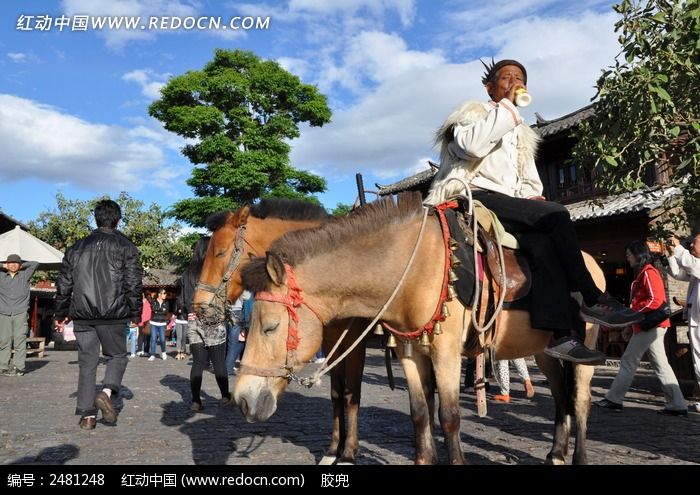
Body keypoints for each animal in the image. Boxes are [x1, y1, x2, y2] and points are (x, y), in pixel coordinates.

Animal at [191, 198, 366, 464]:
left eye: (220, 252)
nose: (199, 307)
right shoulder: (331, 343)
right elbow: (336, 394)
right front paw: (333, 449)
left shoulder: (355, 342)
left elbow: (350, 394)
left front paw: (348, 453)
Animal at [238, 193, 604, 464]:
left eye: (270, 327)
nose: (242, 400)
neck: (413, 269)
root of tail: (593, 262)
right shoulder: (409, 351)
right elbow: (419, 413)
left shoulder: (445, 353)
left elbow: (449, 416)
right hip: (544, 351)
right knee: (560, 396)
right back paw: (556, 453)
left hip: (584, 348)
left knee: (580, 401)